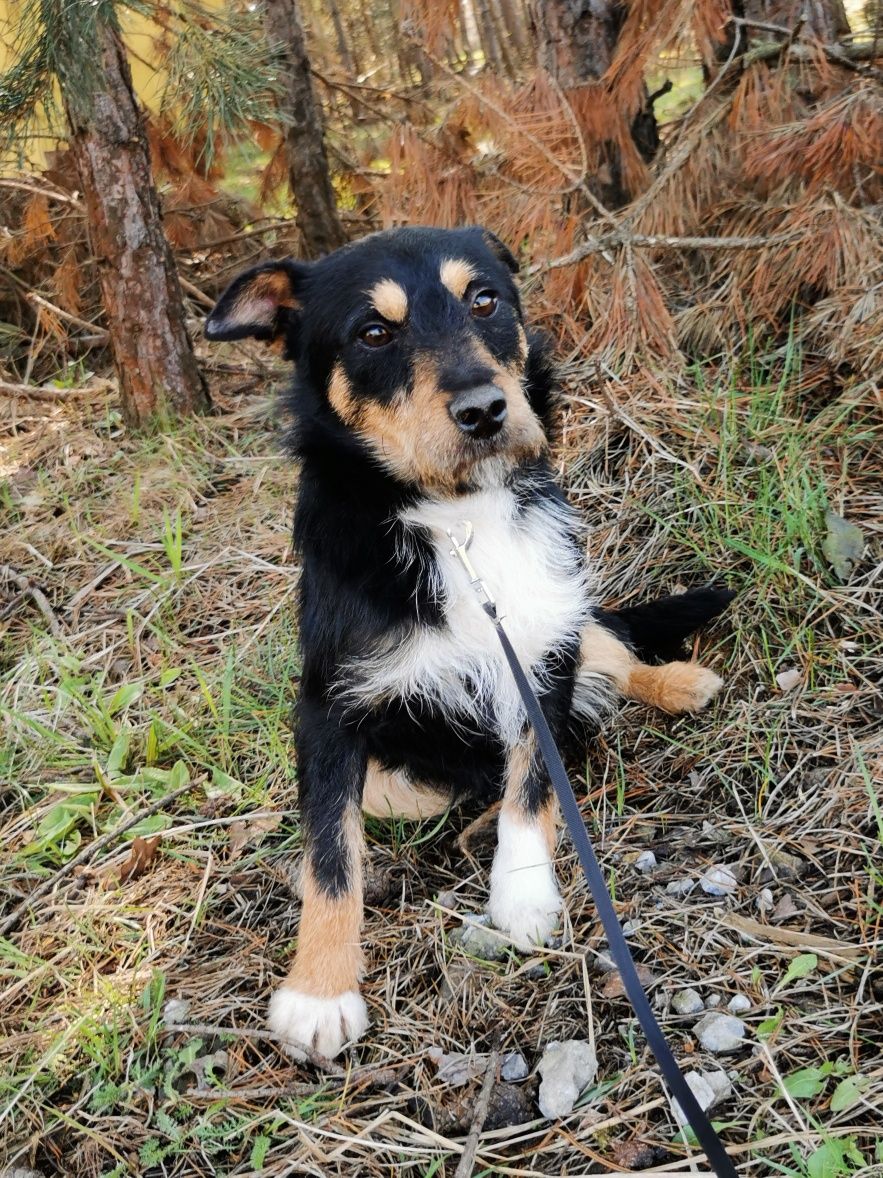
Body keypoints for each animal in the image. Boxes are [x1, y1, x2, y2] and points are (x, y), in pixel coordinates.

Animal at [206, 227, 734, 1060]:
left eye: (483, 299)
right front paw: (320, 989)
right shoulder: (328, 707)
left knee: (610, 644)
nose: (485, 410)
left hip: (569, 610)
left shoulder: (540, 652)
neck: (455, 520)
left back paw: (676, 682)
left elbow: (532, 782)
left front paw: (521, 889)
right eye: (373, 332)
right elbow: (332, 850)